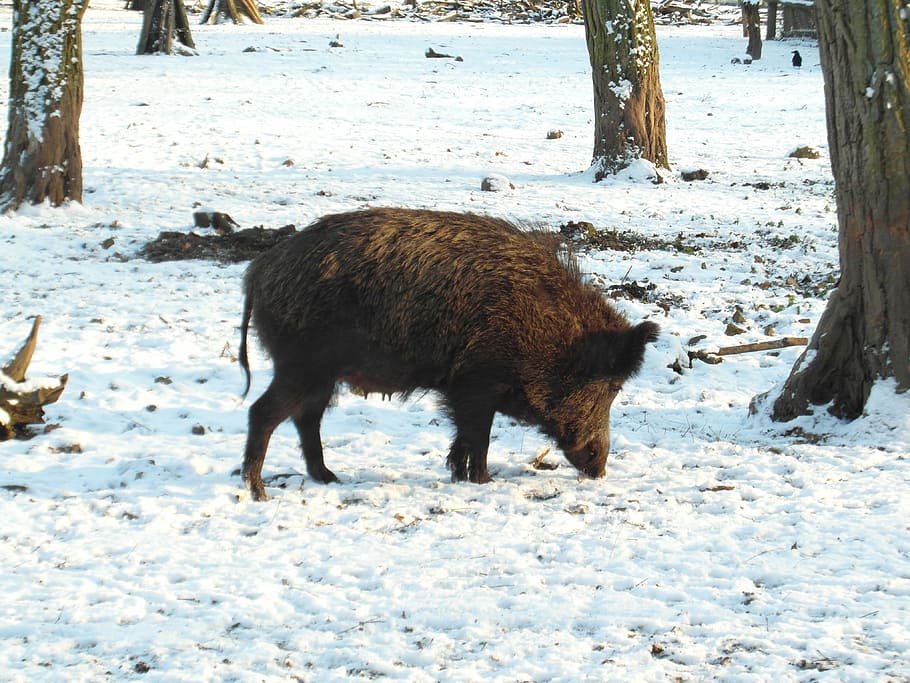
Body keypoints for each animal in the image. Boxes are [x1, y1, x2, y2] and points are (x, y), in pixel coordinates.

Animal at [239, 208, 659, 501]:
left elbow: (465, 438)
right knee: (263, 412)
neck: (549, 332)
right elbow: (479, 437)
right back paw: (259, 492)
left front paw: (461, 476)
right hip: (301, 364)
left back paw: (329, 478)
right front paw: (484, 481)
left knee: (305, 419)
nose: (600, 468)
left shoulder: (464, 388)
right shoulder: (478, 382)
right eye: (613, 385)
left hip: (320, 376)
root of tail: (258, 272)